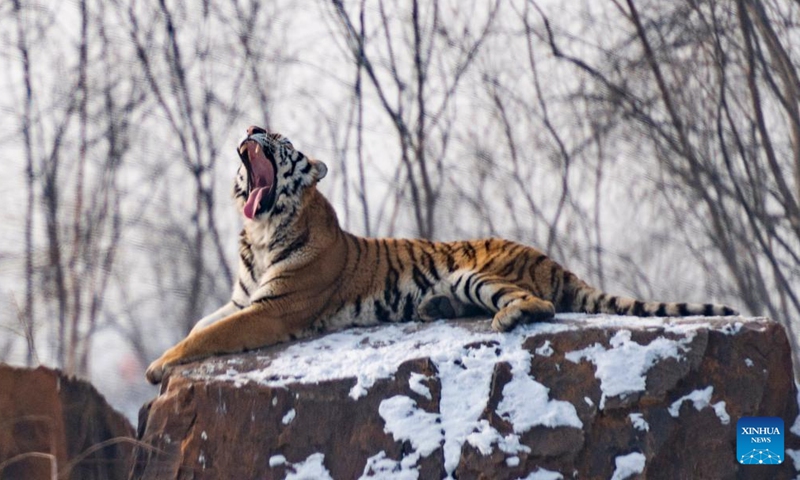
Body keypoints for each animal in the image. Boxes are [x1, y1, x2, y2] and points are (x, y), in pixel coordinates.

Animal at [145, 126, 736, 382]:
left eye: (282, 141)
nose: (253, 127)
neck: (263, 227)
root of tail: (553, 260)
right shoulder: (243, 299)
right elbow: (201, 324)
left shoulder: (272, 309)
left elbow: (208, 336)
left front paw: (157, 368)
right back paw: (436, 308)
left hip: (480, 274)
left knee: (539, 305)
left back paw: (505, 317)